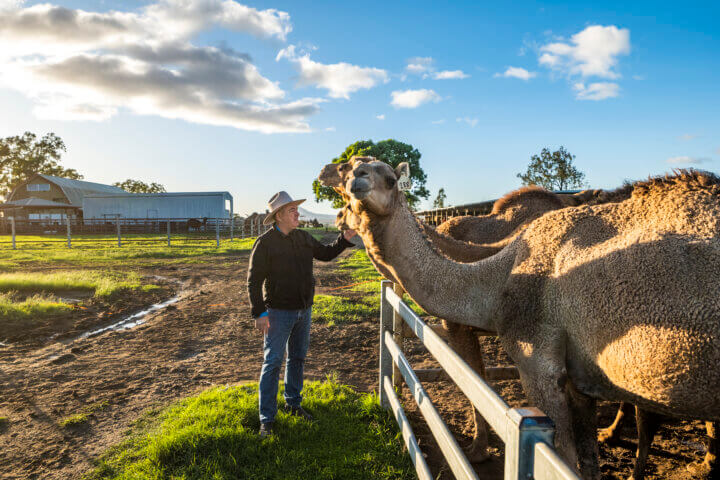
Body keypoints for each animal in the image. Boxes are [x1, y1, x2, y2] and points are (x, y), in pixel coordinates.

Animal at [319, 156, 720, 479]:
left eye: (389, 178)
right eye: (352, 169)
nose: (357, 182)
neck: (499, 274)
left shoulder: (537, 362)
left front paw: (478, 451)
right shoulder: (579, 379)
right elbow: (589, 461)